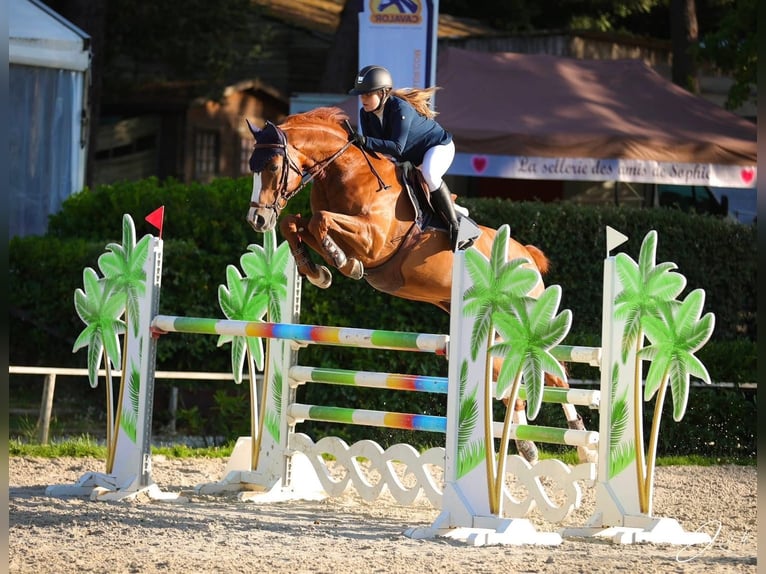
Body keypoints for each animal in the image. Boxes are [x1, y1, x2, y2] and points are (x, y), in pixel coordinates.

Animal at [245, 106, 595, 464]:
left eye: (272, 167)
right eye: (252, 167)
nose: (256, 220)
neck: (346, 171)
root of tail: (528, 256)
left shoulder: (373, 241)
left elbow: (321, 221)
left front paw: (342, 263)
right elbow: (295, 224)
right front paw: (316, 271)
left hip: (522, 318)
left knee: (554, 372)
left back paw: (581, 445)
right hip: (494, 328)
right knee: (512, 373)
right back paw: (527, 445)